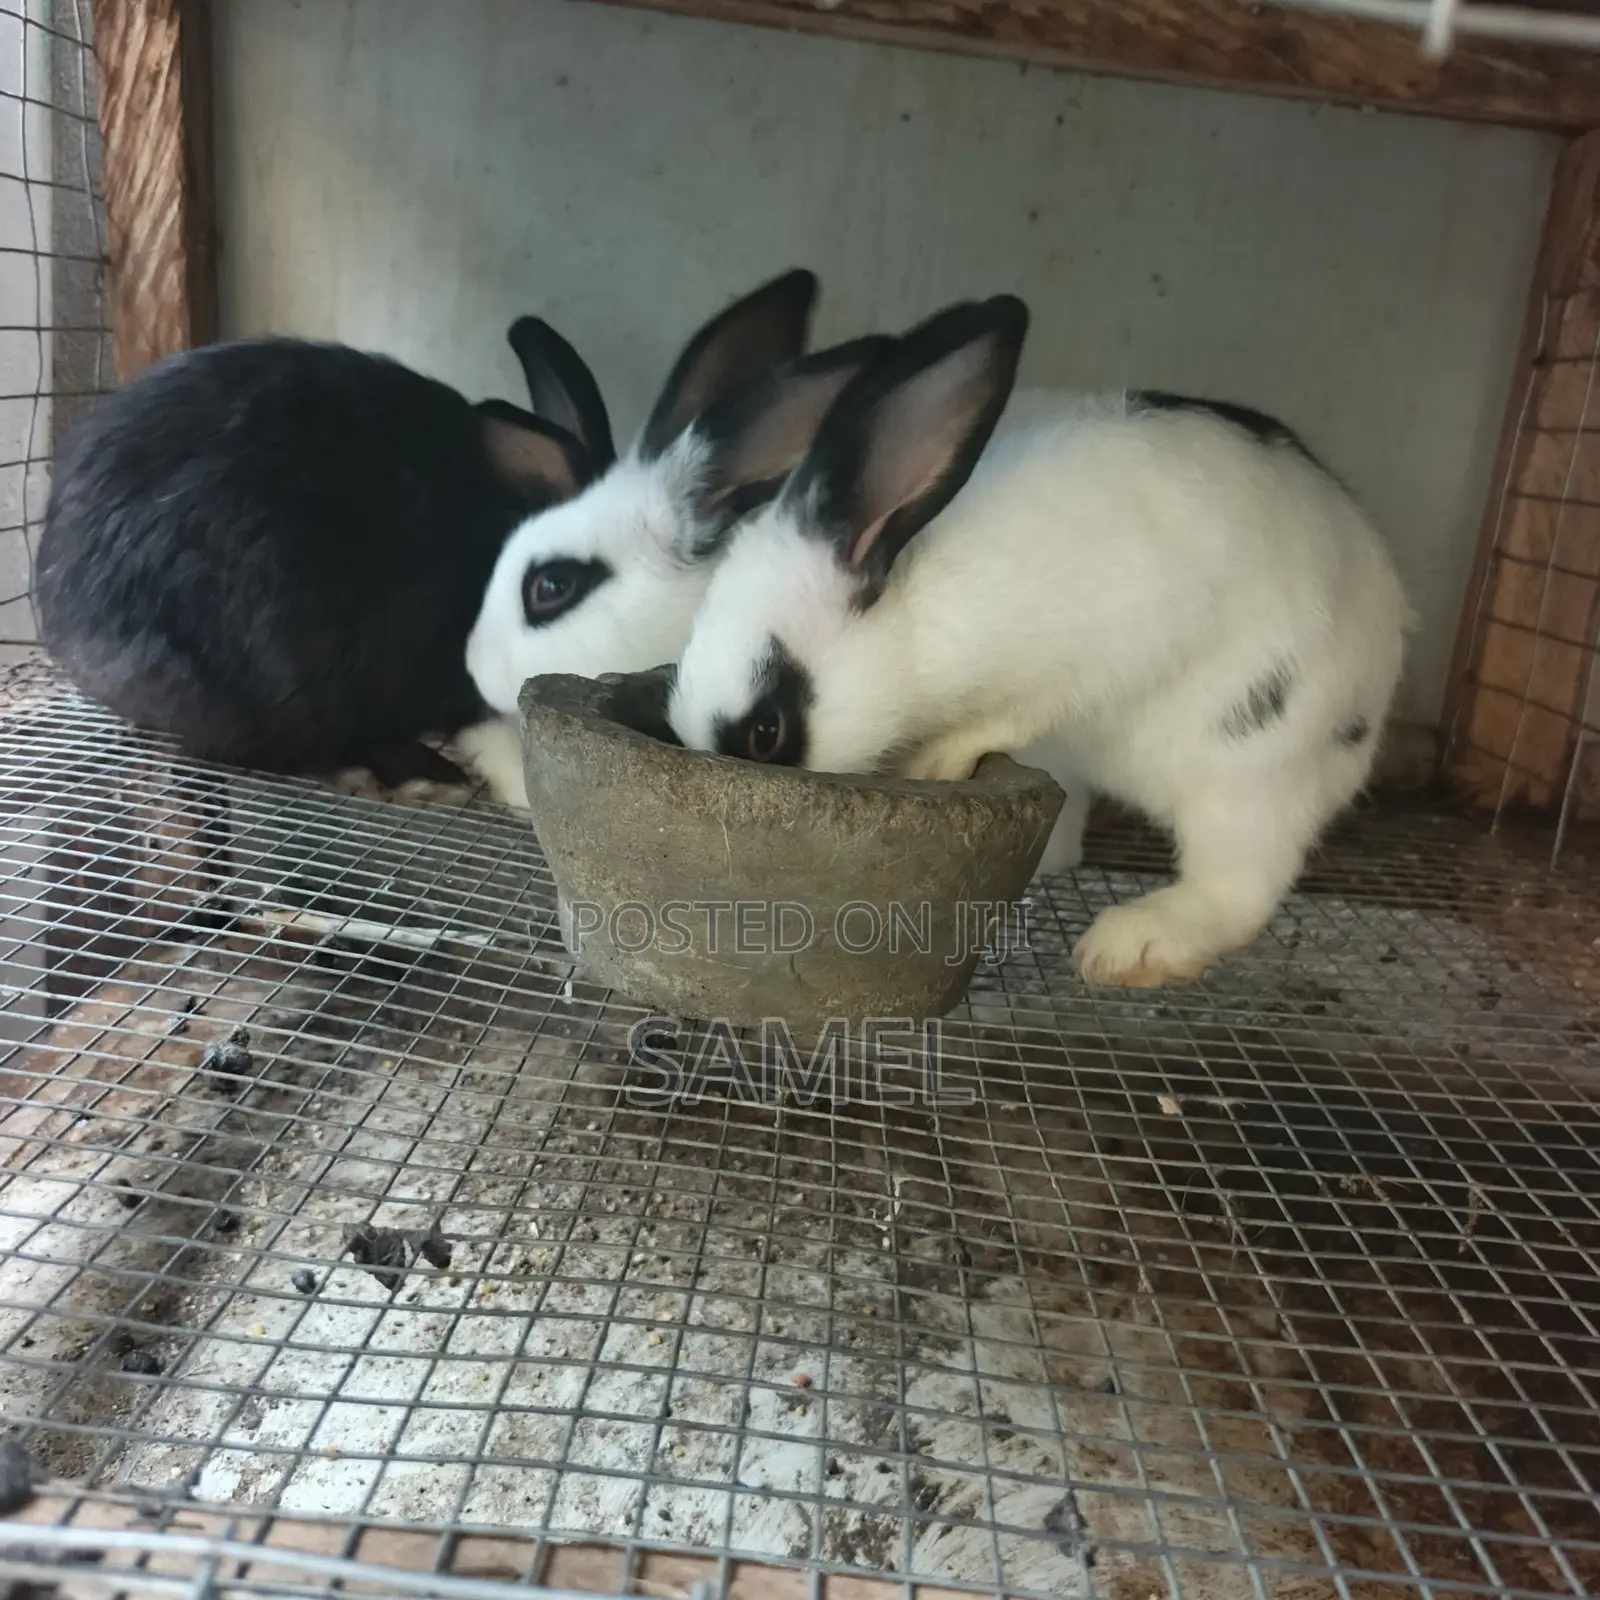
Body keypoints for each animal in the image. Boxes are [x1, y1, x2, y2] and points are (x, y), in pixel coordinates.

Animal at [666, 296, 1412, 989]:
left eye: (767, 730)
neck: (913, 616)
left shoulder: (1091, 658)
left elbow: (1008, 715)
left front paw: (935, 759)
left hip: (1252, 765)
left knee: (1239, 885)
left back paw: (1130, 947)